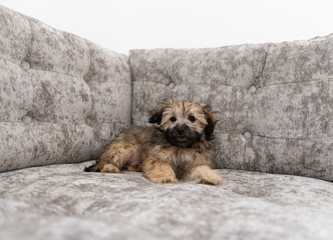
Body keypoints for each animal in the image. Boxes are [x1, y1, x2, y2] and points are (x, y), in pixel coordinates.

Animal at [84, 99, 222, 186]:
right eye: (173, 119)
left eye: (192, 118)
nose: (180, 130)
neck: (181, 147)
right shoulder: (156, 158)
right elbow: (161, 166)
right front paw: (165, 177)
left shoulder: (194, 163)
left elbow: (201, 168)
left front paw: (210, 176)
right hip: (125, 148)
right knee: (104, 161)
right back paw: (110, 167)